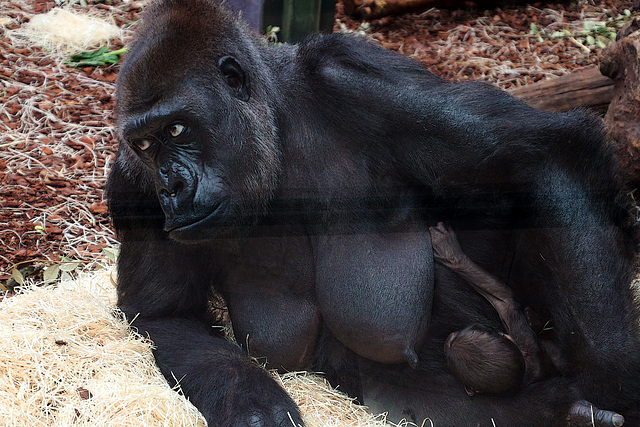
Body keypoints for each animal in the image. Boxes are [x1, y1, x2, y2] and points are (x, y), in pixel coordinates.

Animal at [106, 1, 640, 426]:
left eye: (178, 129)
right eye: (146, 145)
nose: (172, 188)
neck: (275, 129)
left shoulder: (355, 78)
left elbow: (541, 156)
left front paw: (612, 377)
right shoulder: (132, 182)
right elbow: (169, 316)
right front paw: (255, 408)